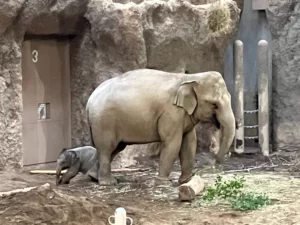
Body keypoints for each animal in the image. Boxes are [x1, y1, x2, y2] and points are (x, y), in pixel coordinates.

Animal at [85, 69, 236, 186]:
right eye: (214, 104)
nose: (216, 162)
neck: (189, 78)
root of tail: (89, 100)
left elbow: (189, 143)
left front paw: (186, 181)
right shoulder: (171, 113)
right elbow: (173, 144)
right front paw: (164, 183)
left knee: (115, 148)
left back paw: (94, 177)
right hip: (104, 121)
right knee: (107, 148)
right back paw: (108, 182)